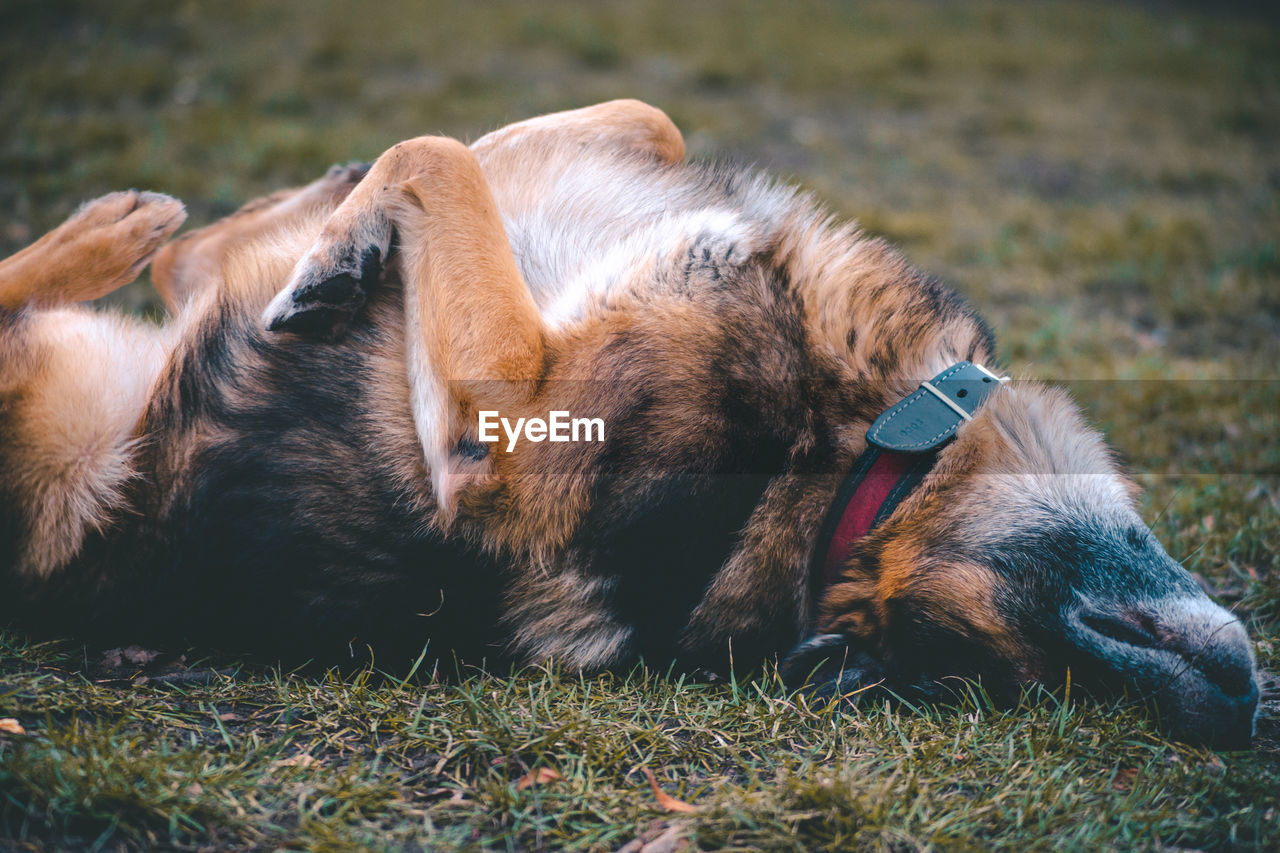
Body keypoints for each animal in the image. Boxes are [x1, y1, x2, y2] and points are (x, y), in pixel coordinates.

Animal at [0, 99, 1259, 742]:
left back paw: (143, 232)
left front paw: (345, 228)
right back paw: (141, 225)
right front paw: (336, 217)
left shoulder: (510, 439)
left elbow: (440, 157)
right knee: (168, 268)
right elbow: (607, 127)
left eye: (1001, 664)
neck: (850, 454)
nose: (1236, 711)